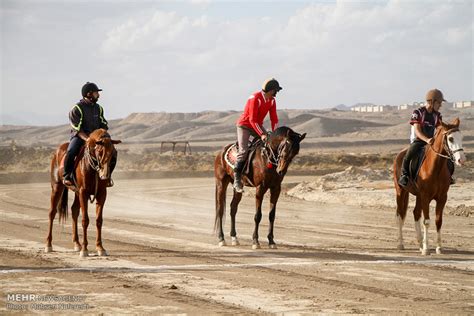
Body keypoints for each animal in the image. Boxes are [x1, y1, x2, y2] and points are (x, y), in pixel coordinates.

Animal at [45, 128, 121, 256]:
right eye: (99, 151)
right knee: (52, 212)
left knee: (74, 210)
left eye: (113, 152)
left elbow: (99, 220)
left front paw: (100, 248)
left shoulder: (101, 194)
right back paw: (48, 245)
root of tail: (58, 151)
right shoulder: (83, 192)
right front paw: (85, 249)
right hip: (57, 187)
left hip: (76, 192)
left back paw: (77, 243)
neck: (93, 168)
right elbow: (85, 220)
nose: (104, 175)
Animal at [392, 117, 466, 256]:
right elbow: (426, 221)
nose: (461, 160)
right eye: (451, 139)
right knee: (399, 215)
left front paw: (438, 248)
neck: (436, 168)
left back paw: (420, 244)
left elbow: (438, 221)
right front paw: (426, 249)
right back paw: (400, 244)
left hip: (418, 196)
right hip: (401, 191)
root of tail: (399, 155)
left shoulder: (442, 198)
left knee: (416, 213)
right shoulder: (426, 197)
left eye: (462, 137)